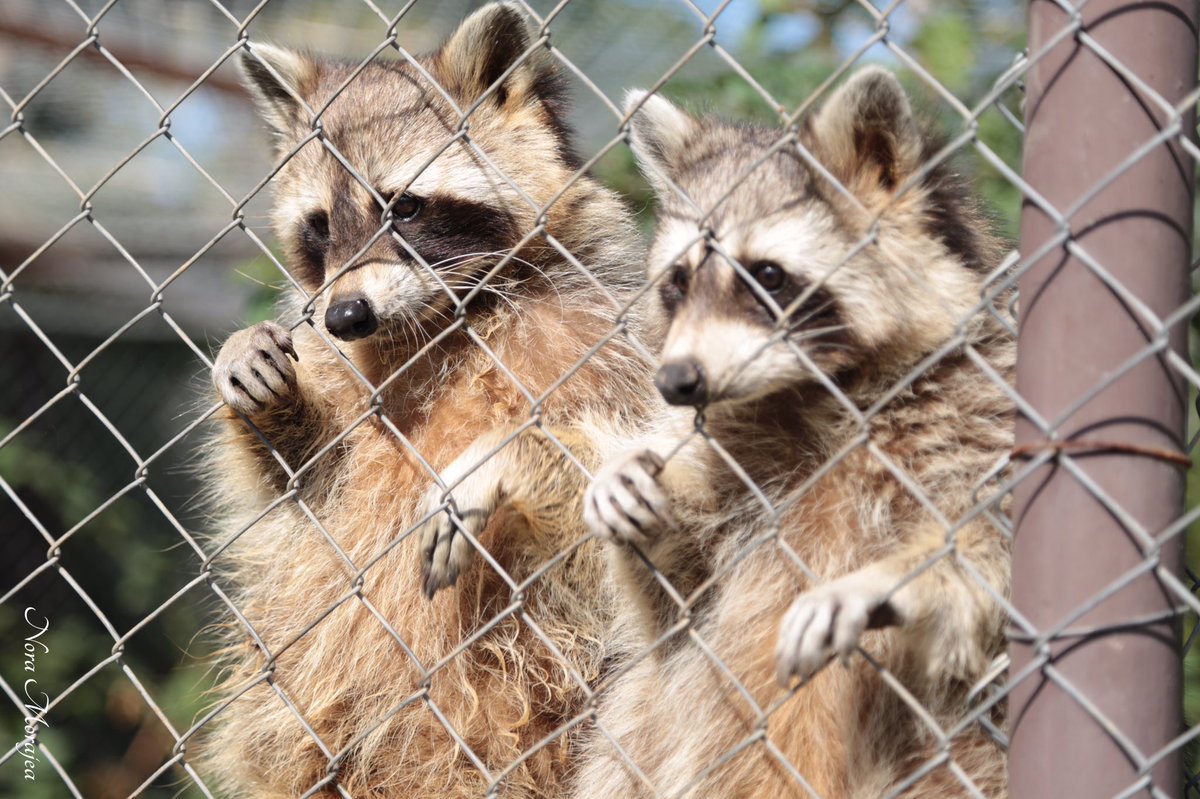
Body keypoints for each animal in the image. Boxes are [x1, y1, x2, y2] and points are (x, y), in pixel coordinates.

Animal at [198, 4, 652, 797]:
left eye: (404, 207)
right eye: (321, 225)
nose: (346, 314)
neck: (440, 324)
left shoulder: (605, 331)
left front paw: (509, 460)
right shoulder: (343, 366)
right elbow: (305, 484)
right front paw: (259, 388)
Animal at [573, 69, 1014, 798]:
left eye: (768, 275)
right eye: (678, 281)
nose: (675, 380)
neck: (815, 396)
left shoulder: (974, 415)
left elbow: (982, 553)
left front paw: (894, 579)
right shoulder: (739, 454)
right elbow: (677, 601)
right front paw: (631, 480)